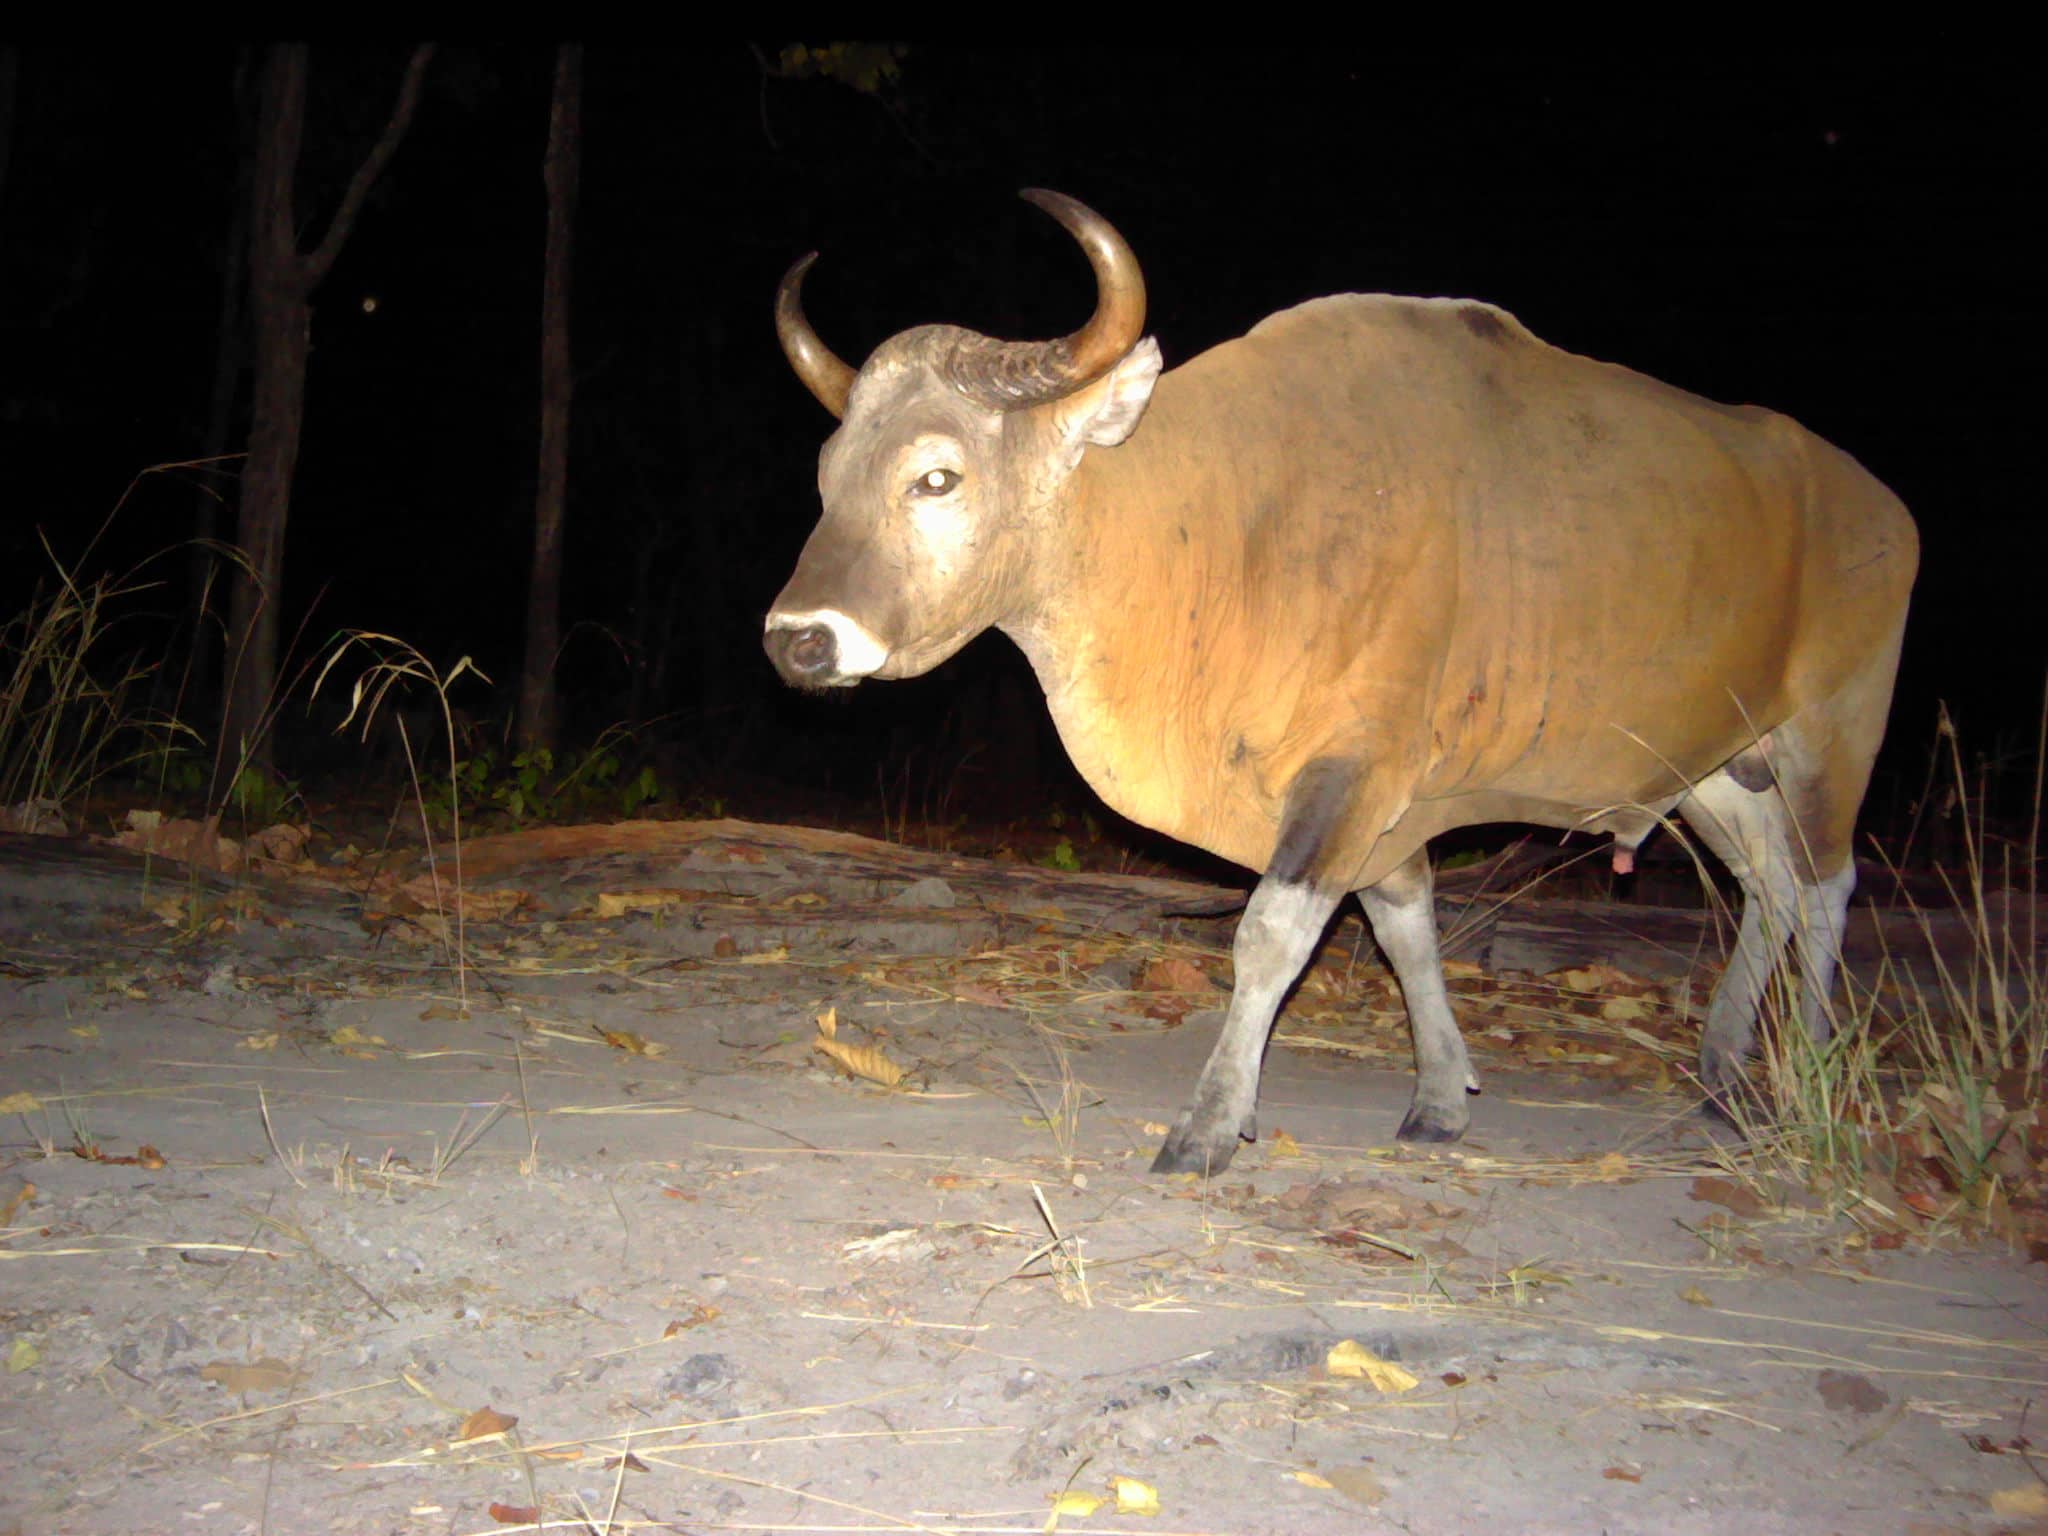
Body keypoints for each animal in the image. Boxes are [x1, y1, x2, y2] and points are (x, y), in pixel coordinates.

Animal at [765, 190, 1917, 1175]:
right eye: (825, 479)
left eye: (936, 475)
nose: (799, 641)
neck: (1226, 525)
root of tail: (1875, 506)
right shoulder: (1388, 799)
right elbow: (1403, 922)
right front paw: (1439, 1095)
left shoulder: (1354, 766)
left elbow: (1270, 931)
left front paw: (1209, 1124)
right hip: (1719, 767)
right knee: (1769, 883)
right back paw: (1722, 1067)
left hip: (1829, 735)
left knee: (1826, 888)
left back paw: (1810, 1057)